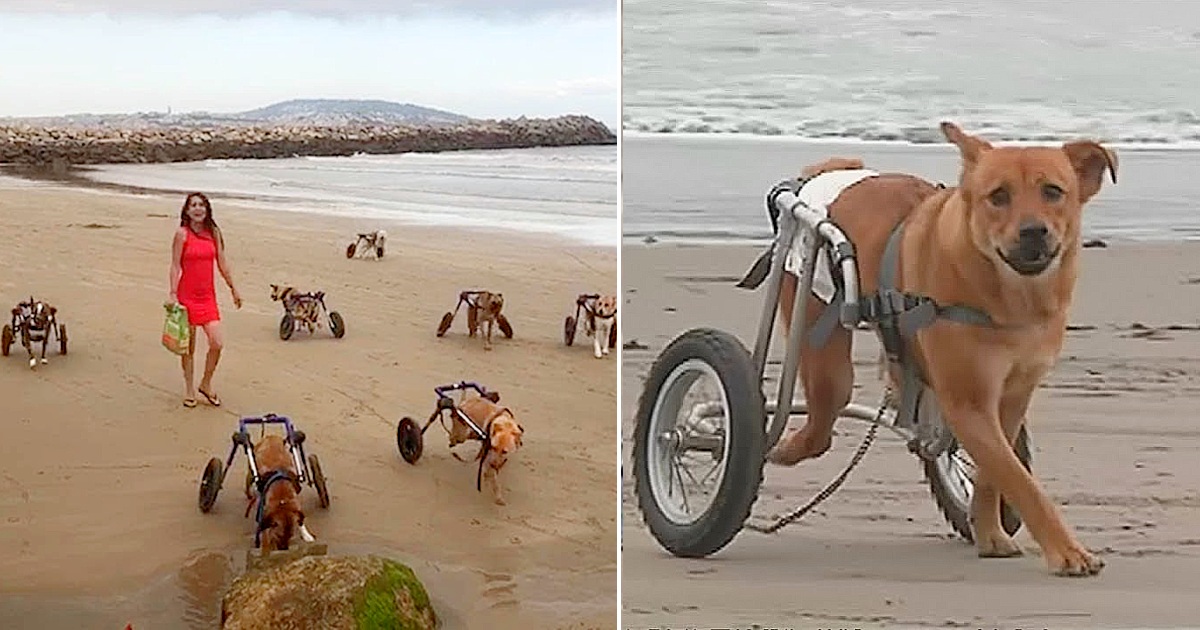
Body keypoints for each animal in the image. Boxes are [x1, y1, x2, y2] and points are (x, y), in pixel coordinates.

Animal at [768, 120, 1113, 578]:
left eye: (1054, 191)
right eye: (998, 195)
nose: (1033, 231)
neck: (1010, 295)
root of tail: (830, 172)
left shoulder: (1011, 397)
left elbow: (994, 473)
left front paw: (989, 532)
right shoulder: (970, 401)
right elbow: (1021, 482)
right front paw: (1065, 550)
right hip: (818, 333)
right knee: (823, 417)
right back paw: (784, 447)